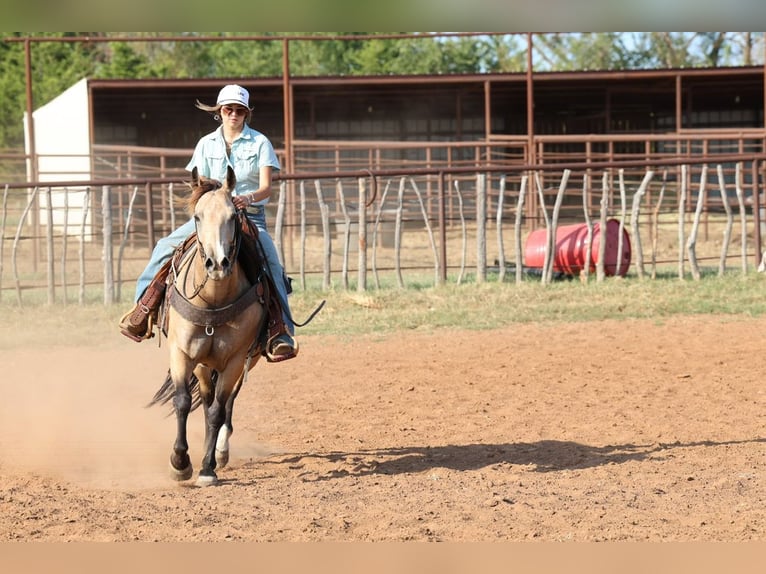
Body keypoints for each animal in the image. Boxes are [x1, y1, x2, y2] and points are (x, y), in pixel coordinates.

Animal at [148, 165, 267, 487]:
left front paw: (206, 468)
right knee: (204, 398)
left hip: (246, 362)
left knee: (225, 405)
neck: (213, 299)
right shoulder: (182, 353)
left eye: (233, 216)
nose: (217, 264)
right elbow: (182, 401)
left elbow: (217, 412)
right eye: (198, 217)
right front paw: (180, 462)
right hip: (202, 363)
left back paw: (220, 452)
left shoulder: (236, 360)